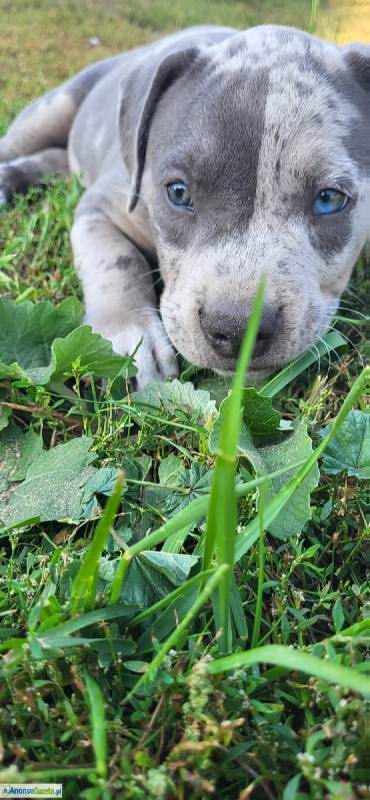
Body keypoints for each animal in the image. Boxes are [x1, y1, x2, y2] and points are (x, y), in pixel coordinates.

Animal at [0, 25, 370, 388]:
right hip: (51, 109)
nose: (237, 328)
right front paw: (131, 342)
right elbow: (118, 261)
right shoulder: (100, 208)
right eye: (178, 193)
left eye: (329, 199)